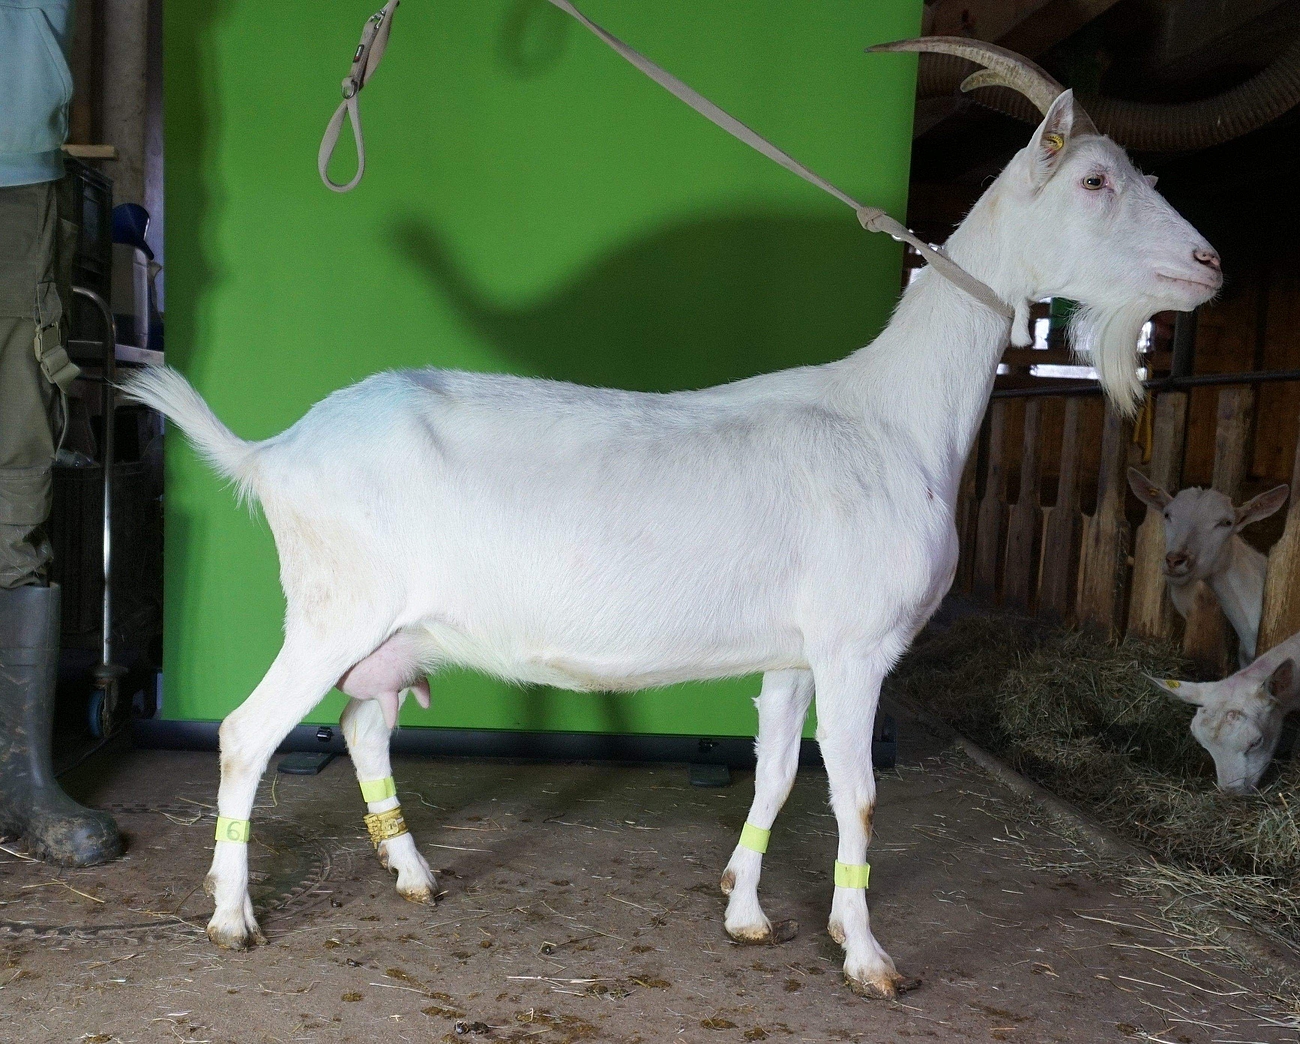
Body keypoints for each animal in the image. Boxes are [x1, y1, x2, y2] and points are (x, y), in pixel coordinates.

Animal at [122, 44, 1222, 997]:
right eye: (1095, 181)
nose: (1210, 262)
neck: (893, 418)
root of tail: (273, 451)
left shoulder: (792, 652)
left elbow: (775, 777)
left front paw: (746, 912)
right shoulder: (857, 645)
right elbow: (858, 796)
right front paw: (868, 957)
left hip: (390, 630)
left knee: (360, 724)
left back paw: (414, 873)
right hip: (334, 608)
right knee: (245, 733)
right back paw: (233, 917)